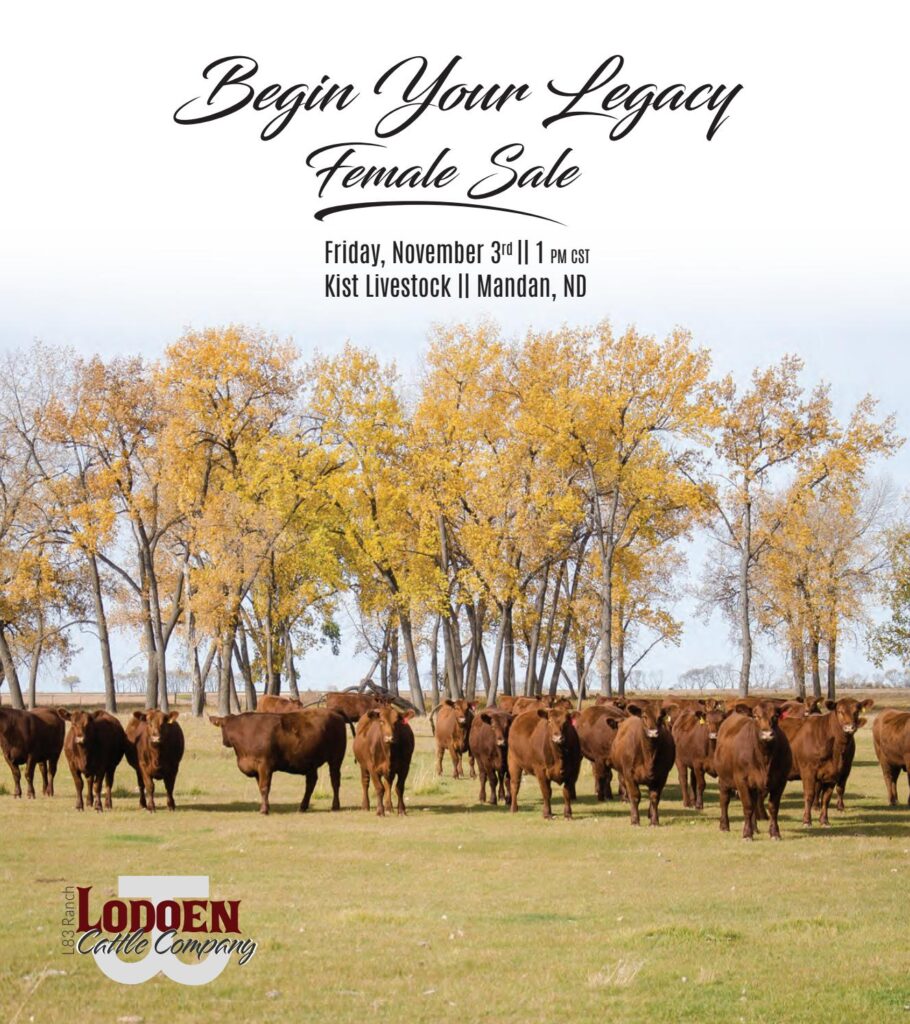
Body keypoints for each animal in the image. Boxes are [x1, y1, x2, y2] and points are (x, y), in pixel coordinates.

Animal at [209, 708, 346, 814]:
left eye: (222, 727)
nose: (224, 742)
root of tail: (336, 714)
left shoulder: (265, 765)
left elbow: (264, 787)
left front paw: (264, 810)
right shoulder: (256, 769)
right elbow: (260, 787)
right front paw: (266, 807)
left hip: (336, 759)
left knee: (335, 781)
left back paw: (335, 806)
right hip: (311, 763)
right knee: (311, 783)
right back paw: (303, 806)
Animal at [714, 701, 791, 840]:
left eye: (776, 716)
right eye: (755, 716)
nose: (767, 734)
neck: (765, 758)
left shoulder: (781, 781)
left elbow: (773, 807)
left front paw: (775, 833)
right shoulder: (741, 780)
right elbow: (748, 806)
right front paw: (747, 834)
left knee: (755, 803)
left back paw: (755, 828)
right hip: (723, 779)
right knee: (724, 800)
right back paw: (724, 826)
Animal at [780, 697, 873, 826]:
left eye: (856, 711)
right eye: (840, 711)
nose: (850, 727)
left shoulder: (833, 774)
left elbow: (826, 798)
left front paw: (824, 820)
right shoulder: (808, 772)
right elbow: (809, 795)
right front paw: (807, 820)